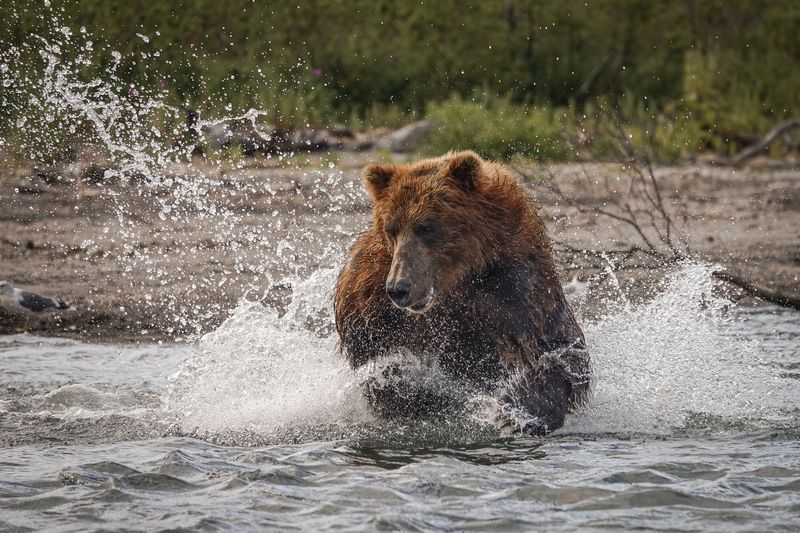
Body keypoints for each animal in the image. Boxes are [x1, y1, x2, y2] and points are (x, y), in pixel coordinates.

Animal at [334, 151, 590, 435]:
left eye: (427, 227)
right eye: (391, 229)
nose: (399, 287)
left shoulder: (521, 291)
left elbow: (562, 349)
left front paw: (515, 413)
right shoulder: (370, 303)